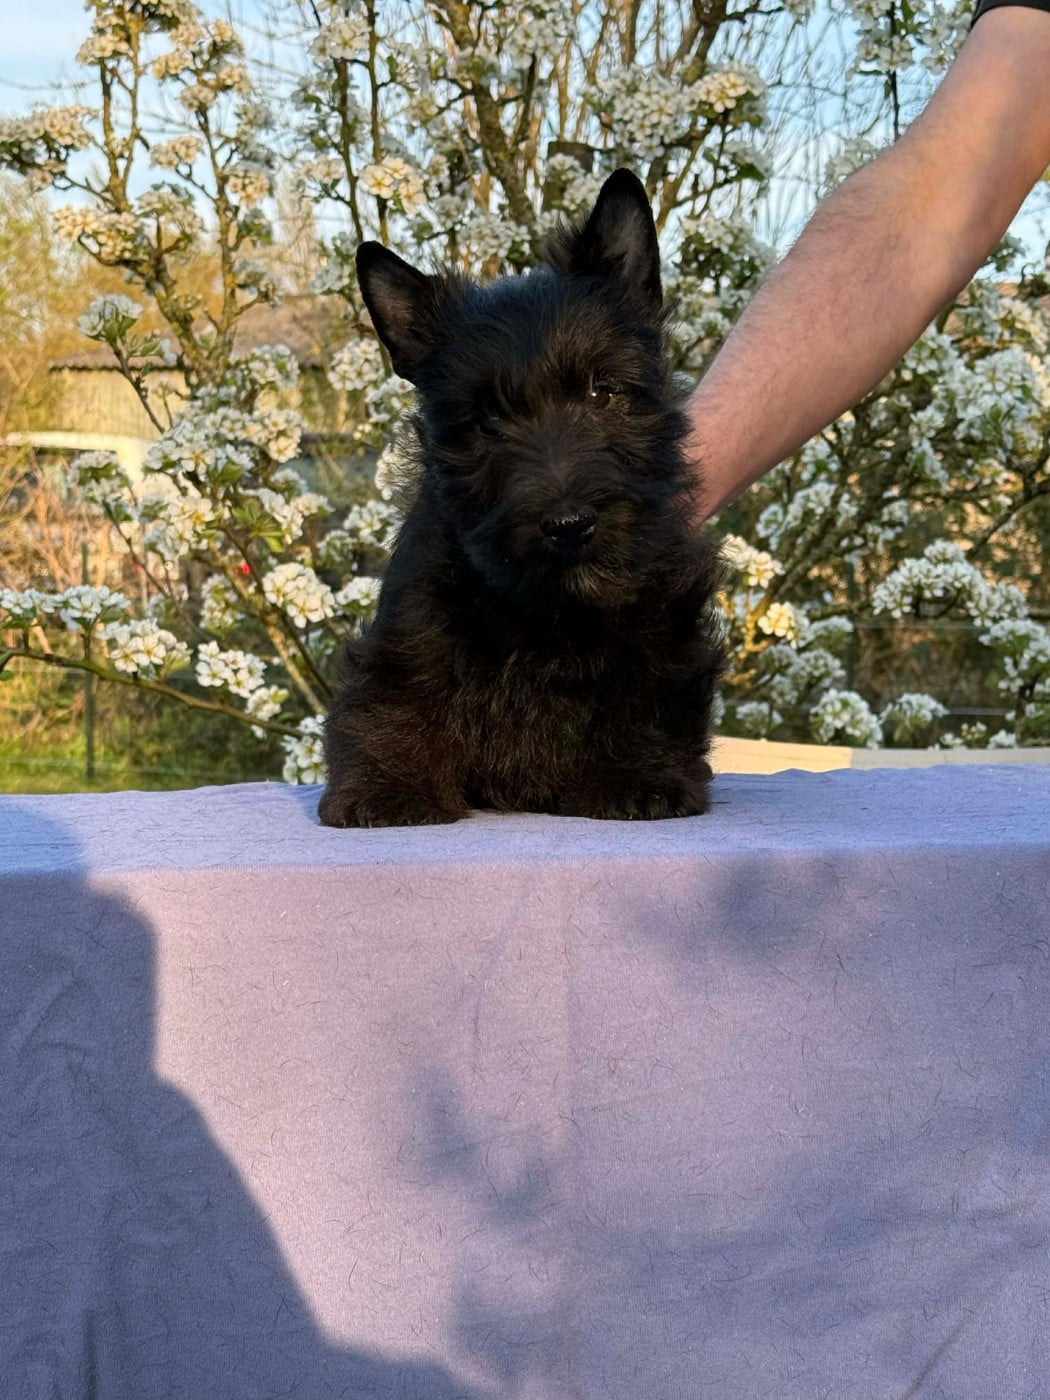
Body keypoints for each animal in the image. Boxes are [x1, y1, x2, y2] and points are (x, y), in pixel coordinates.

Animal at [318, 168, 724, 828]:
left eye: (603, 390)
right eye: (484, 421)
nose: (568, 524)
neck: (549, 608)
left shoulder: (663, 623)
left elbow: (645, 692)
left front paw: (640, 777)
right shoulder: (414, 627)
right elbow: (399, 697)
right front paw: (387, 787)